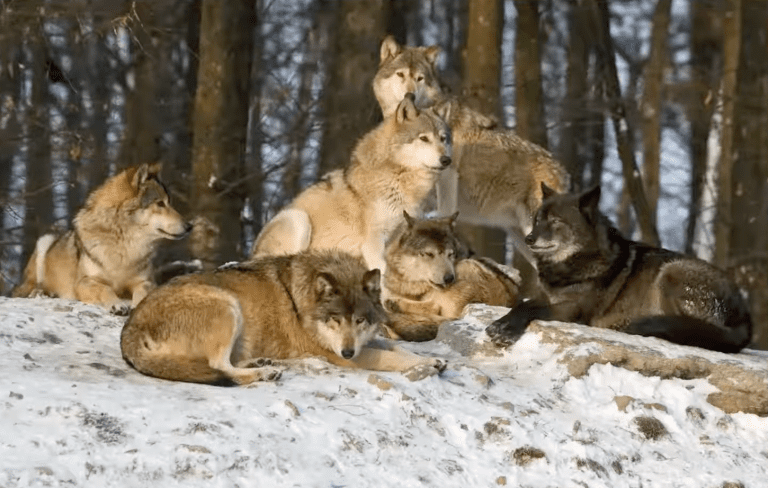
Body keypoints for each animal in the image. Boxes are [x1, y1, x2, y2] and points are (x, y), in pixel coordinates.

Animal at [12, 162, 192, 314]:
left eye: (170, 202)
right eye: (160, 203)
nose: (189, 226)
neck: (125, 247)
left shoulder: (146, 281)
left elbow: (143, 292)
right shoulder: (84, 282)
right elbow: (105, 289)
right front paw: (117, 304)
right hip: (45, 241)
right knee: (24, 289)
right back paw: (40, 293)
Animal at [121, 250, 445, 385]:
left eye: (360, 321)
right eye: (335, 319)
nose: (347, 351)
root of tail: (130, 329)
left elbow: (397, 347)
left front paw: (434, 359)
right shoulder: (339, 355)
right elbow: (392, 358)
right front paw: (427, 363)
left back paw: (261, 364)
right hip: (227, 305)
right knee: (218, 366)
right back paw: (262, 374)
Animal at [251, 93, 452, 273]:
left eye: (443, 139)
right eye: (424, 138)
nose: (446, 160)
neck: (398, 178)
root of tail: (252, 255)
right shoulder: (373, 243)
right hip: (298, 218)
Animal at [383, 212, 521, 341]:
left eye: (450, 254)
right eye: (429, 254)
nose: (449, 278)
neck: (411, 287)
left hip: (465, 266)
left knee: (436, 309)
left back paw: (394, 305)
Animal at [485, 184, 753, 353]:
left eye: (556, 222)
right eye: (538, 219)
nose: (529, 239)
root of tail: (745, 311)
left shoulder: (574, 311)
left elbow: (532, 309)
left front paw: (505, 330)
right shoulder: (546, 295)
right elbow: (523, 304)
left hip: (671, 272)